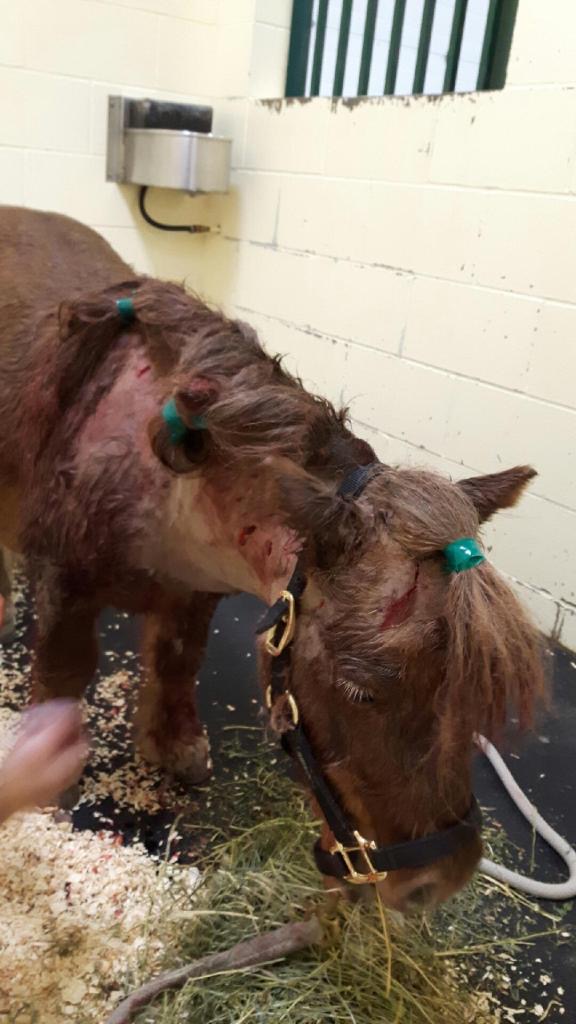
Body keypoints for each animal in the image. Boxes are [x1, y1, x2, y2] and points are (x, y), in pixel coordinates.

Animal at [0, 203, 541, 909]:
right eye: (360, 691)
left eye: (475, 695)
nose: (440, 881)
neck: (165, 473)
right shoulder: (66, 592)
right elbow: (62, 681)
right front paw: (50, 796)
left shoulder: (194, 594)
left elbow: (178, 662)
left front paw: (172, 744)